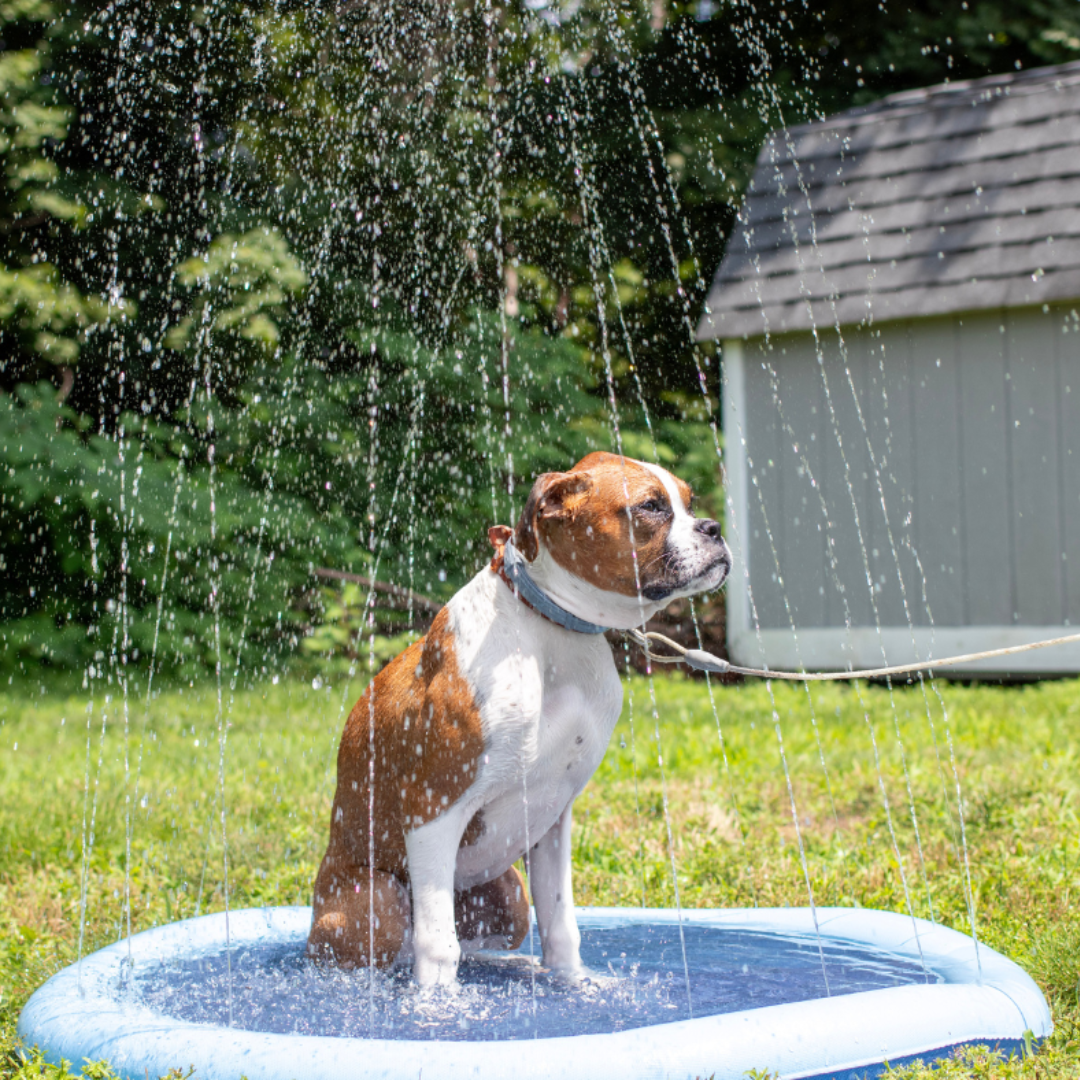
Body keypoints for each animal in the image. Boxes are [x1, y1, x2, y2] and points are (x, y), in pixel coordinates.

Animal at [308, 451, 738, 984]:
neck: (552, 628)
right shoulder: (434, 809)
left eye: (690, 503)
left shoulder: (554, 816)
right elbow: (438, 946)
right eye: (650, 507)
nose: (714, 528)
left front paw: (573, 986)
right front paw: (436, 1003)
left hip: (506, 896)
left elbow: (560, 926)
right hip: (376, 902)